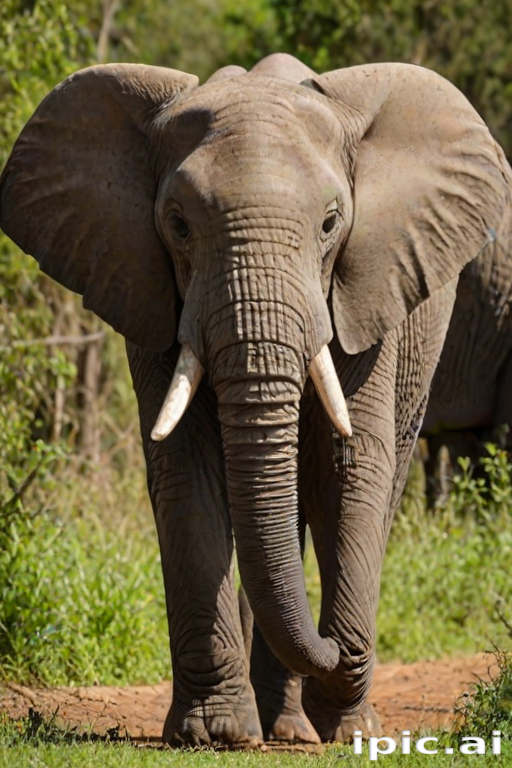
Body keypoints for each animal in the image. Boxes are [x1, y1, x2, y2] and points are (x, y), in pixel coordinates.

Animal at [1, 52, 511, 746]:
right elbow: (186, 470)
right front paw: (214, 733)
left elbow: (348, 470)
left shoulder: (365, 289)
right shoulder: (152, 293)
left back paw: (296, 729)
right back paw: (281, 724)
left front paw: (349, 730)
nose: (336, 648)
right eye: (177, 224)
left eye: (331, 223)